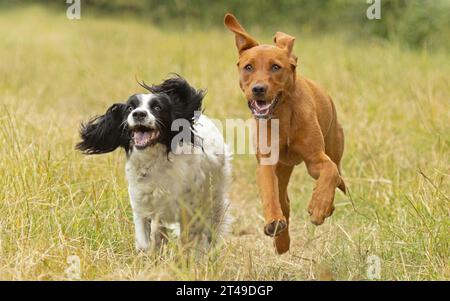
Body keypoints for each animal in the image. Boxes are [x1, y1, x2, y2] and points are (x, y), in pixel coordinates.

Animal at [76, 75, 230, 251]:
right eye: (130, 107)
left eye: (157, 107)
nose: (139, 114)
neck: (154, 162)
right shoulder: (141, 207)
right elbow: (146, 239)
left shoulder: (189, 211)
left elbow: (188, 238)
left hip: (214, 200)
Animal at [225, 14, 348, 253]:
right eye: (248, 67)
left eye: (275, 67)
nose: (258, 89)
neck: (281, 114)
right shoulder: (267, 163)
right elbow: (270, 194)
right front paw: (274, 222)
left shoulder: (316, 160)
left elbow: (328, 171)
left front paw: (319, 207)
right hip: (283, 168)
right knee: (284, 200)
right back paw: (281, 241)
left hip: (334, 144)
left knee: (336, 171)